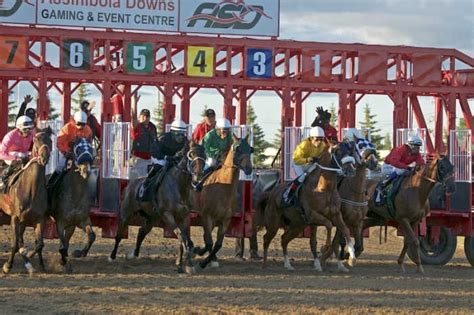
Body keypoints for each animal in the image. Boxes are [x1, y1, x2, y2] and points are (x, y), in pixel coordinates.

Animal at [0, 130, 52, 276]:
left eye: (51, 140)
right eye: (37, 140)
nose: (44, 157)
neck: (31, 189)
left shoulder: (39, 219)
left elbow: (39, 244)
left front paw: (40, 265)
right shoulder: (15, 217)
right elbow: (14, 243)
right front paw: (7, 266)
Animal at [48, 138, 96, 272]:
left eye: (91, 148)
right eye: (77, 149)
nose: (86, 170)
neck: (75, 195)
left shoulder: (80, 221)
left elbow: (92, 235)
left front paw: (79, 253)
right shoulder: (60, 222)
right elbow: (62, 247)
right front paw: (64, 262)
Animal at [111, 142, 207, 276]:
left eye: (204, 156)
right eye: (191, 154)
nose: (198, 179)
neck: (178, 186)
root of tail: (130, 184)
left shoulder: (183, 217)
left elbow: (184, 239)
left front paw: (184, 265)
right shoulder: (168, 215)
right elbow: (181, 237)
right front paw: (186, 263)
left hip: (151, 218)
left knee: (141, 232)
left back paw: (133, 255)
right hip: (126, 214)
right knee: (119, 235)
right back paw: (112, 256)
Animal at [191, 135, 254, 270]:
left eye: (251, 149)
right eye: (237, 148)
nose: (248, 169)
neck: (224, 187)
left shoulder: (225, 220)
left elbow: (217, 244)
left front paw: (206, 259)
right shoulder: (206, 217)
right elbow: (209, 242)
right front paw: (202, 259)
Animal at [258, 143, 358, 272]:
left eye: (350, 152)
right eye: (338, 152)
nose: (351, 170)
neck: (323, 189)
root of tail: (271, 193)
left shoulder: (336, 214)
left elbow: (345, 229)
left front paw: (352, 258)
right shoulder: (312, 215)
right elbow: (328, 225)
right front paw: (326, 246)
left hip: (297, 225)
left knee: (284, 239)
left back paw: (288, 265)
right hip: (273, 223)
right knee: (266, 239)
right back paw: (264, 264)